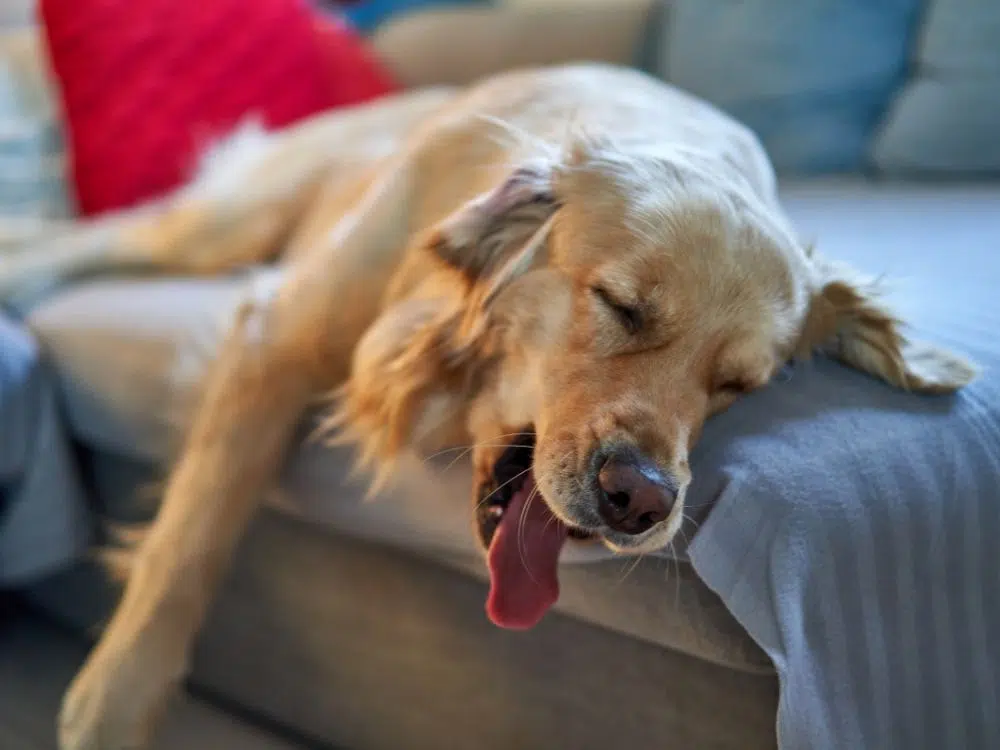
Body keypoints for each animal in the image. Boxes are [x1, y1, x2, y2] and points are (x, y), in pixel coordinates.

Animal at [29, 66, 968, 750]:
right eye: (621, 306)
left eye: (739, 385)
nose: (642, 500)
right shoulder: (277, 338)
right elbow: (192, 538)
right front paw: (112, 704)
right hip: (229, 222)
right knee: (79, 240)